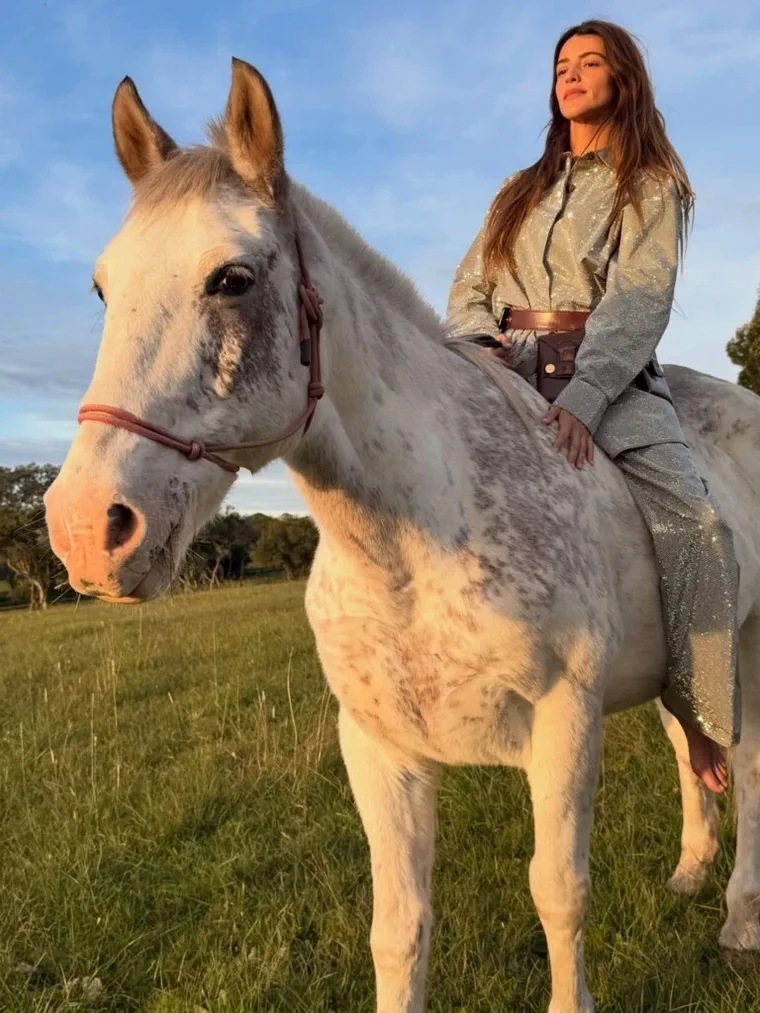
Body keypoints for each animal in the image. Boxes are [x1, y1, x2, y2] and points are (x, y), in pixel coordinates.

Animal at [44, 59, 760, 1013]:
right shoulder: (379, 750)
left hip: (744, 645)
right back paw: (689, 872)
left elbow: (559, 893)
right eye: (101, 286)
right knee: (693, 744)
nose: (88, 528)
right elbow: (401, 927)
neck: (417, 545)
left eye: (231, 279)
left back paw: (739, 920)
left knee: (746, 768)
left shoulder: (565, 727)